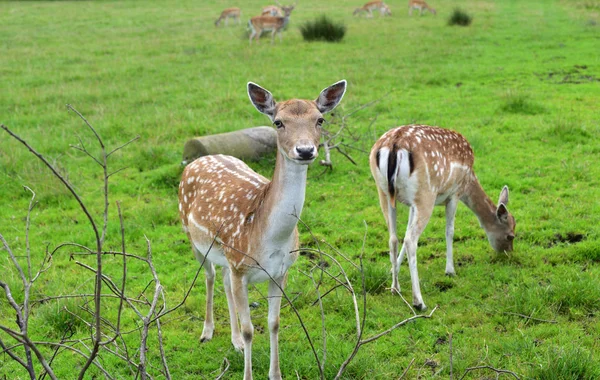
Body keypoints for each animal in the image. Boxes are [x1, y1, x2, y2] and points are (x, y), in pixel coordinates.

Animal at [179, 78, 346, 378]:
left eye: (320, 119)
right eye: (278, 122)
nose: (305, 150)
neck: (270, 239)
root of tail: (195, 161)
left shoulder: (279, 271)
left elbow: (273, 323)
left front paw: (275, 373)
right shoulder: (241, 268)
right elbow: (250, 330)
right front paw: (247, 372)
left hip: (228, 256)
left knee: (223, 280)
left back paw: (233, 341)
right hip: (193, 237)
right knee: (209, 276)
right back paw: (207, 332)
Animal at [370, 126, 516, 310]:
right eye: (510, 236)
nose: (508, 253)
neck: (469, 181)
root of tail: (395, 144)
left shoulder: (411, 204)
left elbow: (404, 232)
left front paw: (392, 270)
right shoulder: (454, 194)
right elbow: (450, 231)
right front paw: (450, 270)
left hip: (384, 193)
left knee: (394, 238)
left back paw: (395, 288)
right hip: (425, 194)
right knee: (411, 239)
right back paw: (419, 302)